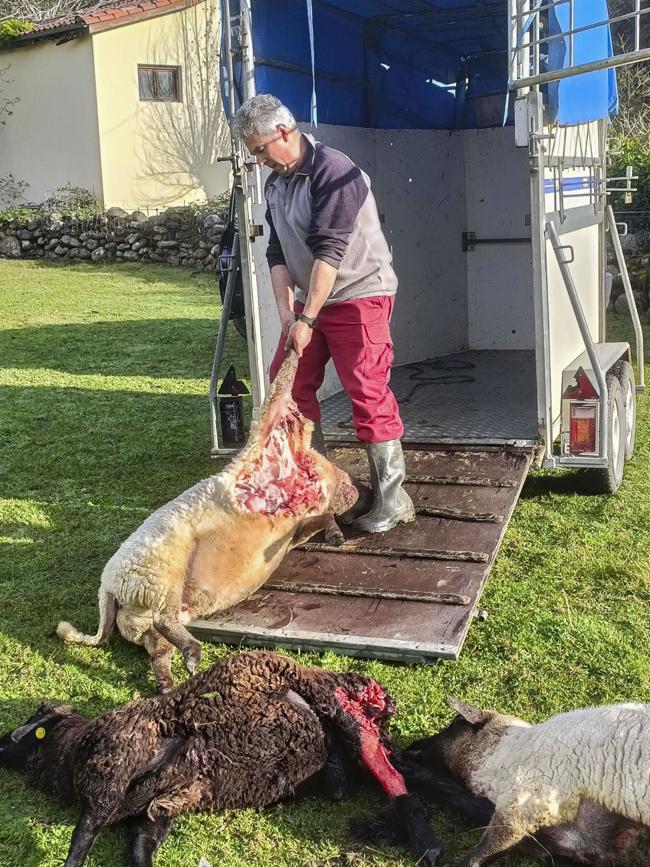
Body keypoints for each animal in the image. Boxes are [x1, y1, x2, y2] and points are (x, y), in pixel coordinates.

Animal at [0, 652, 440, 867]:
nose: (1, 744)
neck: (71, 749)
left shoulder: (112, 769)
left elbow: (83, 836)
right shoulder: (151, 811)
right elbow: (140, 845)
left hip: (337, 707)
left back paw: (426, 841)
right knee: (376, 772)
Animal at [54, 352, 360, 692]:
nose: (359, 488)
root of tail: (107, 587)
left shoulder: (294, 531)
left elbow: (322, 518)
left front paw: (336, 538)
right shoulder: (270, 427)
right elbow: (281, 386)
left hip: (141, 617)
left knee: (158, 647)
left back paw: (171, 681)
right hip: (161, 572)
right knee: (164, 619)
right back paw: (193, 656)